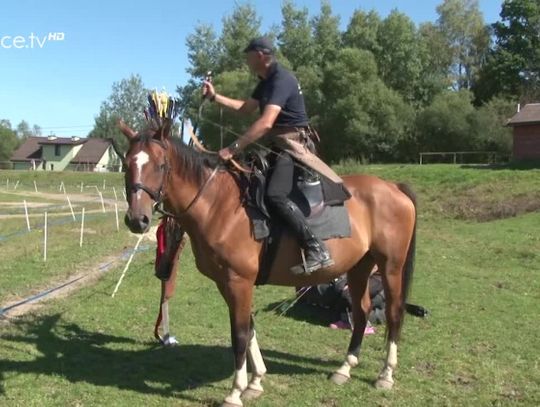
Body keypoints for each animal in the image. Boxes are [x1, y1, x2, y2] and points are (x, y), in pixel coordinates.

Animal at [121, 121, 418, 407]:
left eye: (160, 165)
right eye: (127, 165)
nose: (137, 220)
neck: (219, 206)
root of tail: (393, 187)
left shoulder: (239, 281)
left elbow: (240, 334)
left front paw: (235, 393)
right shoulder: (226, 283)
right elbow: (250, 328)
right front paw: (255, 382)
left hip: (391, 266)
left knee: (393, 313)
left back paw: (385, 375)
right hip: (360, 266)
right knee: (361, 310)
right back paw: (344, 368)